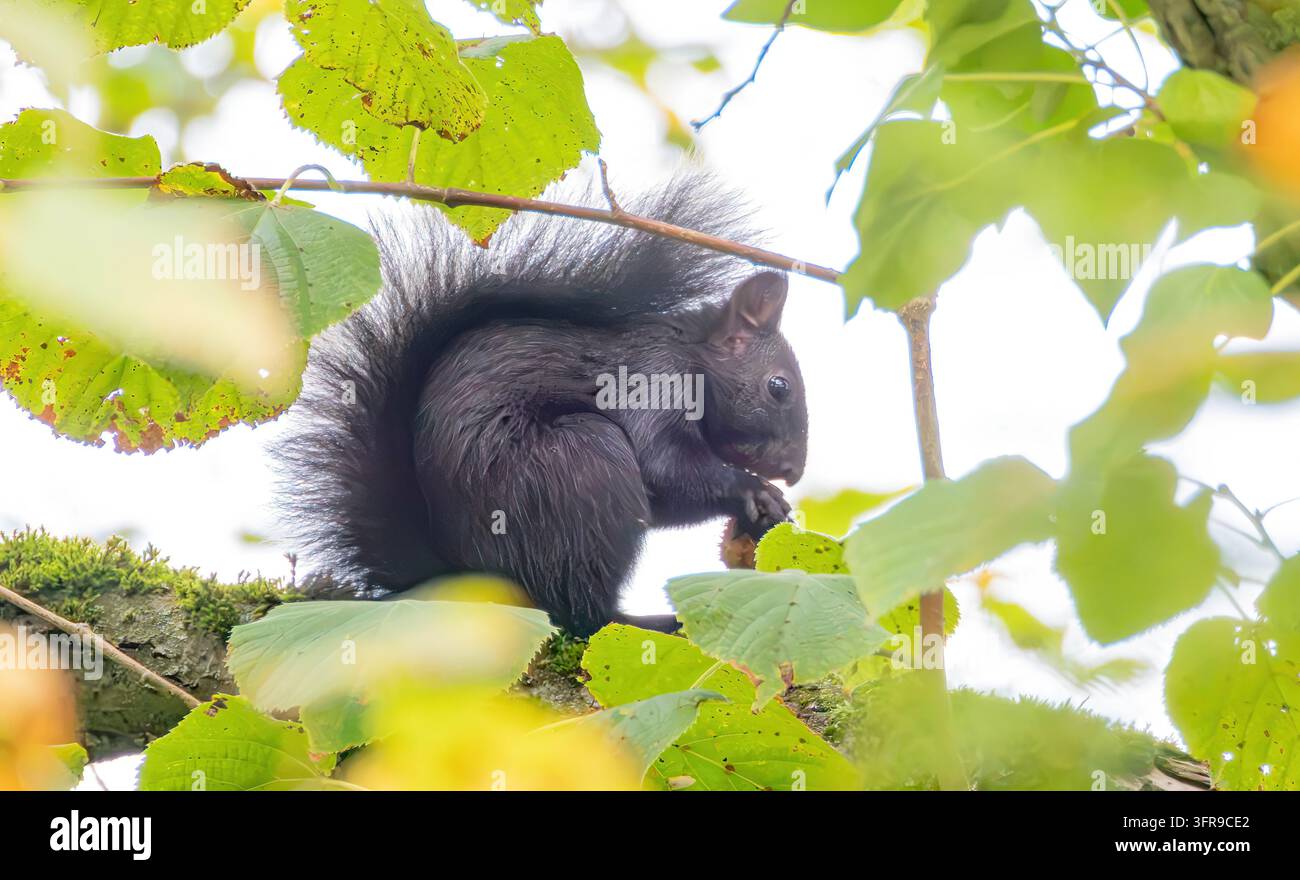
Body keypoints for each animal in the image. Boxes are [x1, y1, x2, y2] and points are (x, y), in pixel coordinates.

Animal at [276, 172, 808, 636]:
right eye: (778, 387)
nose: (794, 470)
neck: (694, 356)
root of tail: (466, 573)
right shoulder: (653, 378)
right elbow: (663, 469)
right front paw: (753, 490)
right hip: (580, 465)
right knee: (580, 611)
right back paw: (645, 621)